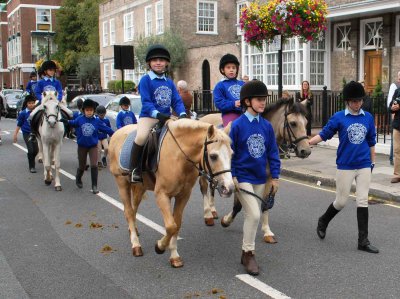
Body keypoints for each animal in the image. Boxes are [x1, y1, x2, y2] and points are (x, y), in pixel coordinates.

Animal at [108, 119, 236, 270]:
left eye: (232, 154)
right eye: (213, 156)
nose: (228, 188)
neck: (179, 156)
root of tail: (117, 132)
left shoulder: (183, 195)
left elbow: (177, 224)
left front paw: (174, 256)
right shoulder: (162, 195)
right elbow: (171, 226)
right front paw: (159, 247)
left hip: (140, 187)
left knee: (133, 209)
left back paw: (133, 230)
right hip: (122, 184)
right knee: (128, 211)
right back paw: (136, 245)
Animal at [200, 98, 312, 244]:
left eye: (306, 123)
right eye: (293, 123)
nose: (306, 151)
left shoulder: (269, 179)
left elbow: (265, 205)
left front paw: (267, 232)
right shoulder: (237, 179)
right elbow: (237, 206)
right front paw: (226, 221)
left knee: (212, 186)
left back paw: (212, 210)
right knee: (204, 188)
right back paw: (208, 214)